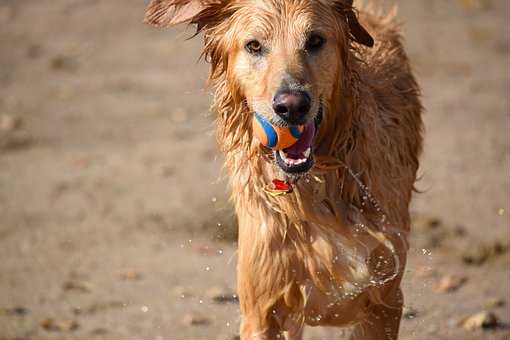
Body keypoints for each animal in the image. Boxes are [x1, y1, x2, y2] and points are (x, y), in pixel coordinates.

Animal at [143, 1, 422, 338]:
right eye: (254, 46)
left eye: (315, 40)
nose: (292, 106)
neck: (314, 188)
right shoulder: (263, 308)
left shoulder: (383, 301)